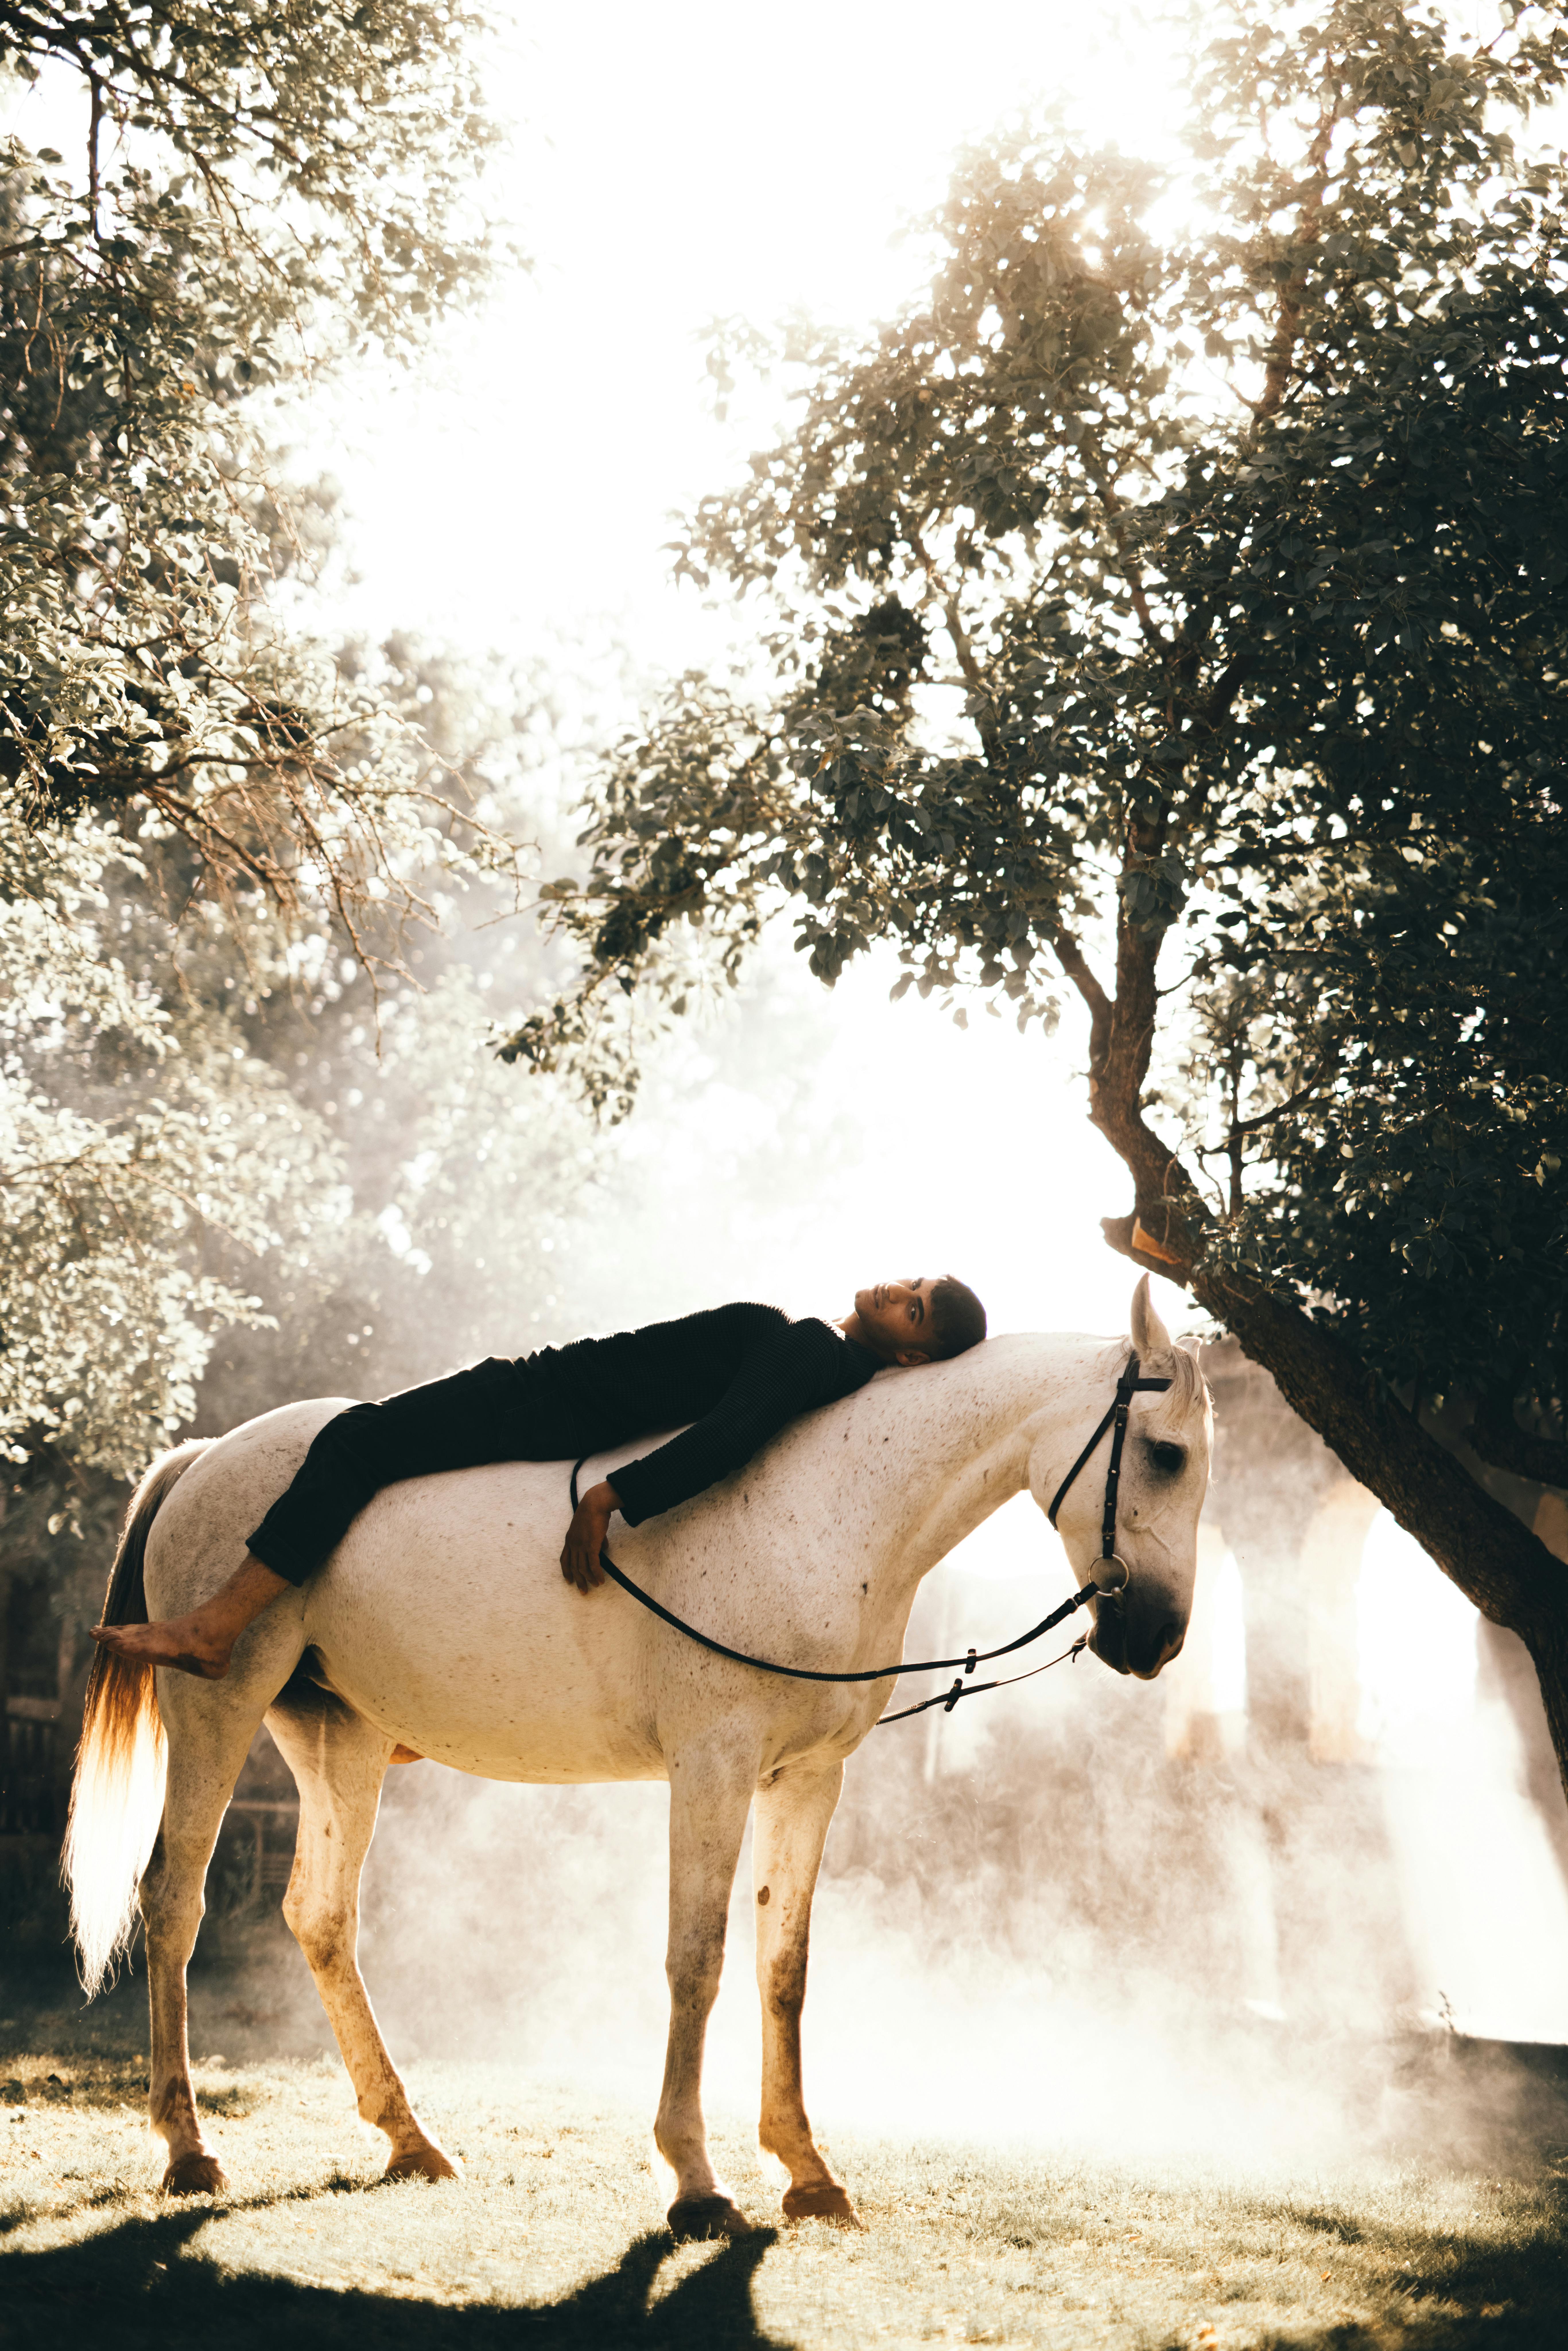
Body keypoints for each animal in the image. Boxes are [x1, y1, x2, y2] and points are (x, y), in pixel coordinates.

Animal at [65, 1275, 1210, 2236]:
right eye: (1165, 1454)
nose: (1155, 1637)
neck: (835, 1494)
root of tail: (205, 1457)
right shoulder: (712, 1767)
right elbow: (695, 1959)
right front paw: (696, 2180)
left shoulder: (806, 1778)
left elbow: (783, 1966)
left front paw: (805, 2171)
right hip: (217, 1708)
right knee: (174, 1900)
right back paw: (187, 2147)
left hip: (335, 1738)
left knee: (320, 1917)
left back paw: (407, 2136)